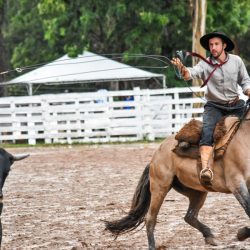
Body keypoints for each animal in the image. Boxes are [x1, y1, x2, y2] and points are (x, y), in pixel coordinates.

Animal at [104, 100, 250, 249]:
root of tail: (155, 156)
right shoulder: (236, 184)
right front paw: (242, 233)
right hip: (160, 188)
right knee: (151, 218)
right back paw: (152, 245)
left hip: (197, 191)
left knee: (189, 216)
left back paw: (209, 235)